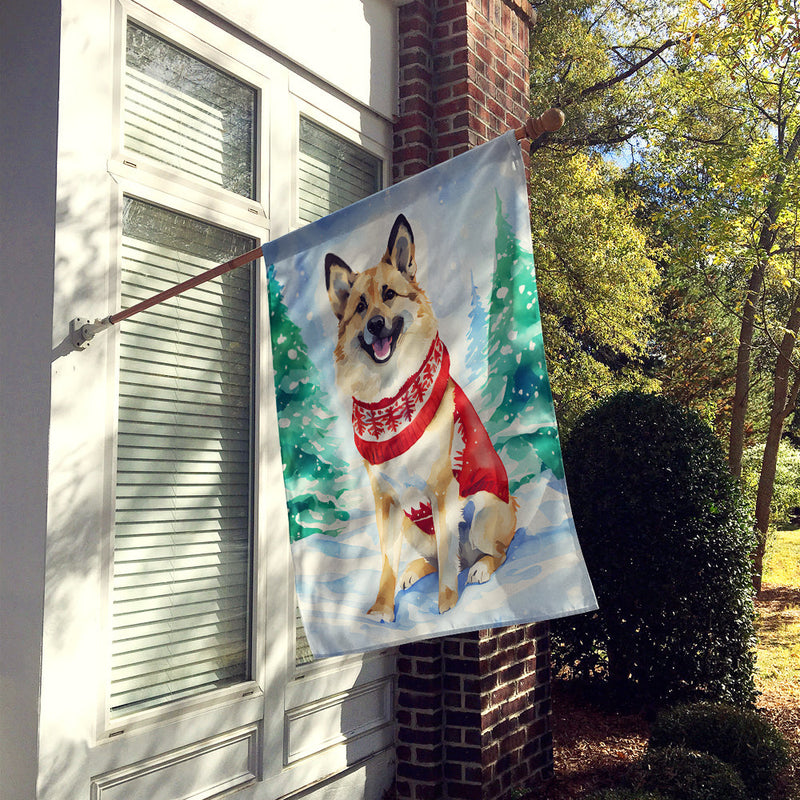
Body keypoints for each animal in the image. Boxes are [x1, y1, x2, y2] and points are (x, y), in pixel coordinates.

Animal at [324, 214, 520, 624]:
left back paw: (480, 569)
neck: (390, 395)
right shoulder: (386, 503)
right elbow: (387, 561)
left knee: (488, 553)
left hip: (481, 511)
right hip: (414, 525)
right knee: (441, 558)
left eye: (389, 294)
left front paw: (447, 605)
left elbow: (447, 560)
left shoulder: (443, 491)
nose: (376, 325)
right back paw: (413, 572)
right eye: (360, 306)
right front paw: (381, 609)